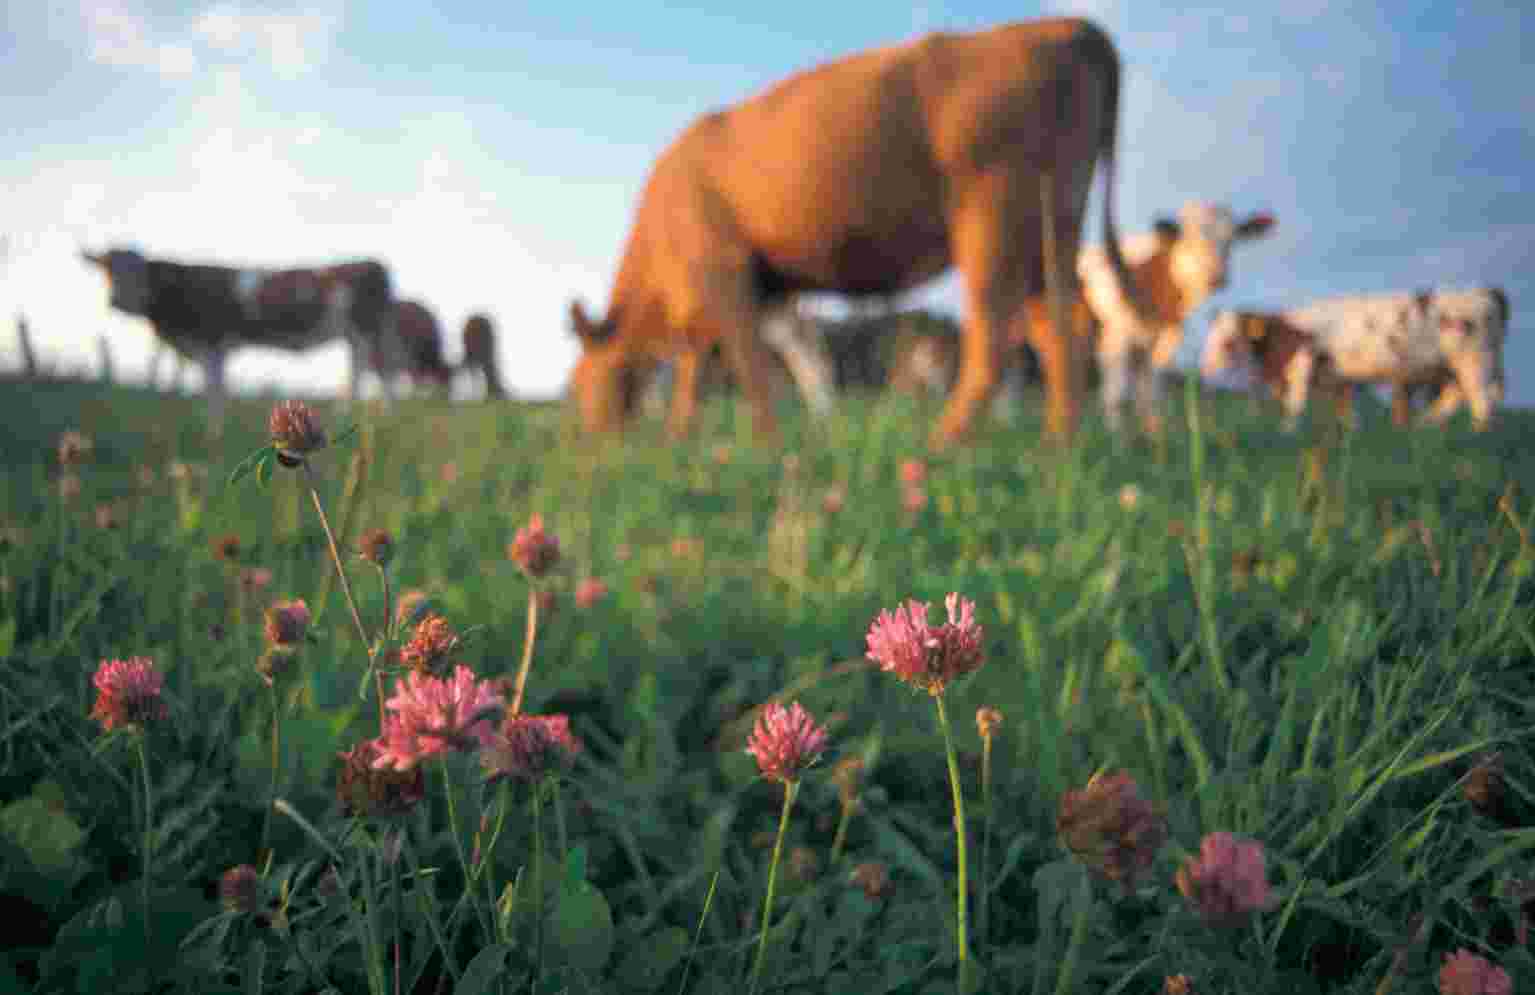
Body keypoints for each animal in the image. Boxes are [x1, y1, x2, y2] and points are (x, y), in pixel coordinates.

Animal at [80, 248, 405, 420]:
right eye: (107, 271)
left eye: (140, 273)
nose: (116, 300)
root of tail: (374, 263)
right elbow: (215, 390)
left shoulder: (212, 344)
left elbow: (214, 391)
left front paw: (213, 430)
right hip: (358, 338)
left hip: (365, 334)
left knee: (372, 374)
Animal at [564, 17, 1142, 448]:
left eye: (584, 379)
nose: (592, 438)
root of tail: (1067, 26)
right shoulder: (763, 292)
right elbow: (702, 371)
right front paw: (682, 435)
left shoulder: (721, 267)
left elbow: (749, 366)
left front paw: (766, 444)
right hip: (1052, 224)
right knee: (1062, 324)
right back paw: (1059, 443)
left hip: (993, 213)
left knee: (996, 332)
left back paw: (944, 442)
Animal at [1197, 285, 1510, 429]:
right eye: (1209, 339)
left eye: (1228, 341)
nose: (1205, 368)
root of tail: (1486, 292)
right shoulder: (1340, 381)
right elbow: (1346, 412)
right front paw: (1349, 433)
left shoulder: (1302, 364)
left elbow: (1295, 403)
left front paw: (1287, 430)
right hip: (1456, 366)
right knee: (1456, 396)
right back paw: (1426, 427)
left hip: (1474, 359)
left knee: (1481, 399)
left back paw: (1477, 433)